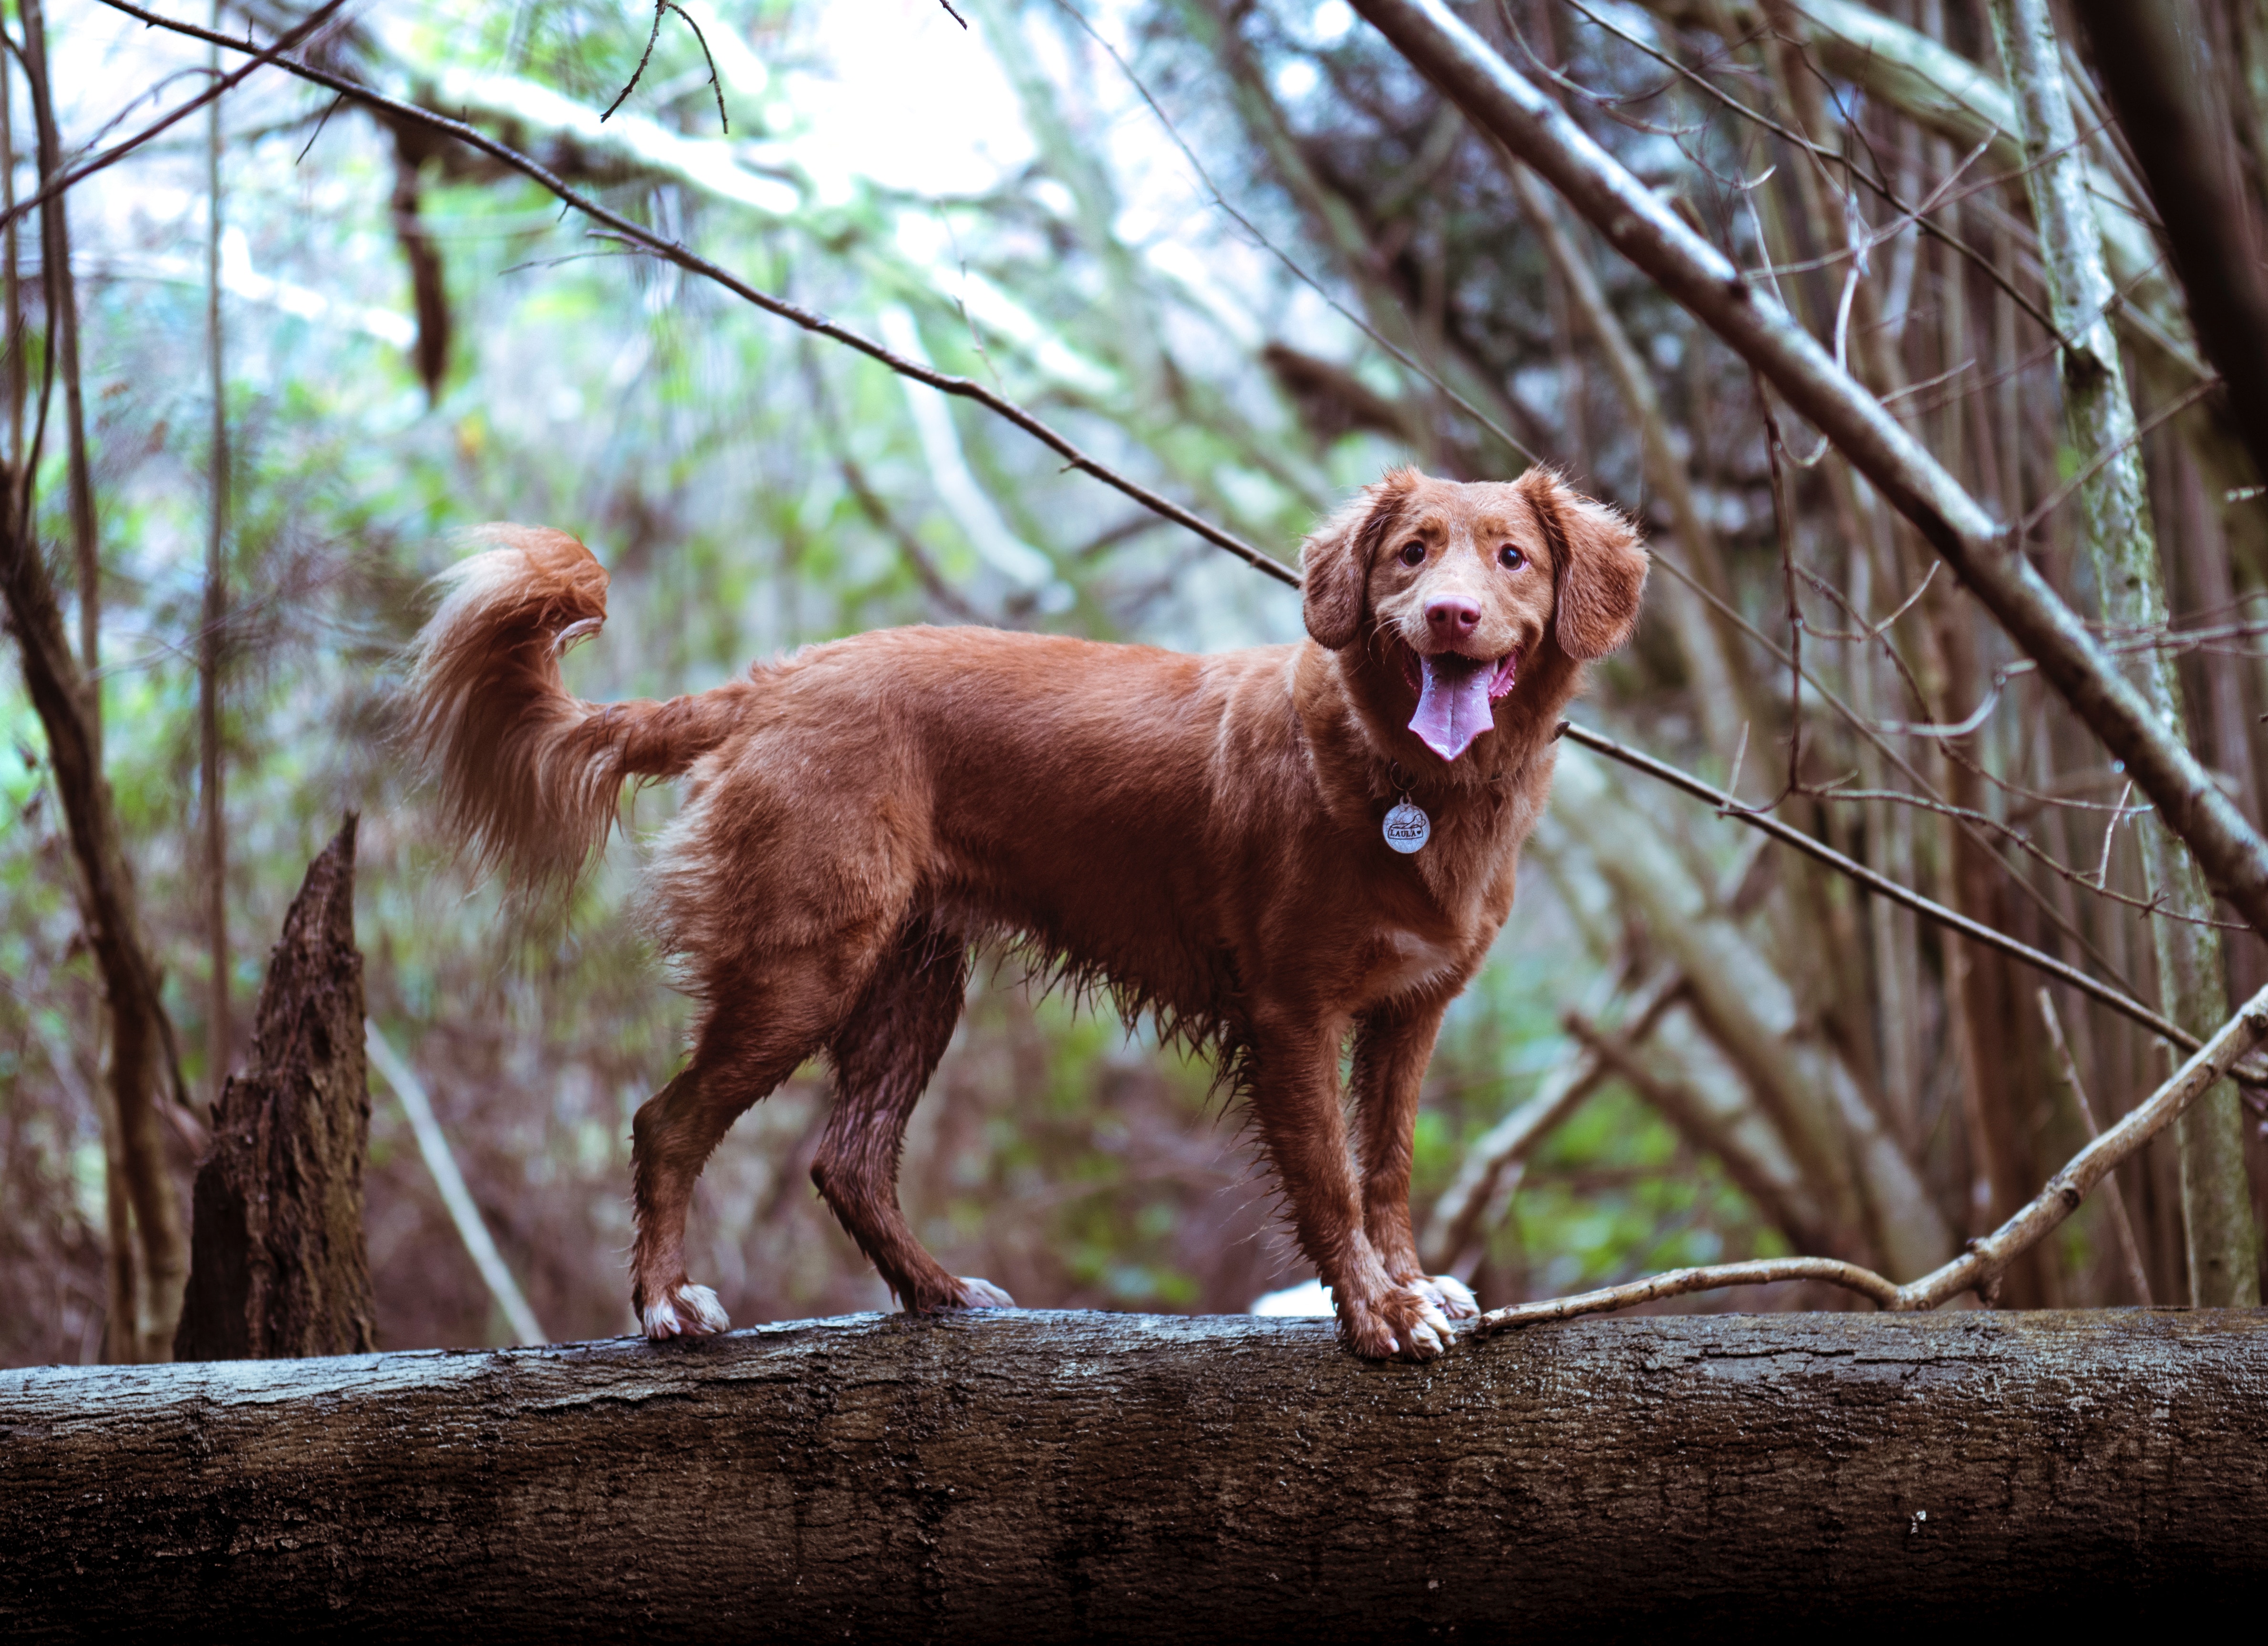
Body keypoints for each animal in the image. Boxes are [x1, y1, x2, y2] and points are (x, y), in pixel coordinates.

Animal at [408, 467, 1642, 1369]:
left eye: (1512, 557)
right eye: (1410, 553)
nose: (1450, 615)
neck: (1407, 779)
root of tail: (772, 681)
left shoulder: (1408, 1014)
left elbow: (1386, 1167)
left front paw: (1408, 1282)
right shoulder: (1293, 1012)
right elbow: (1331, 1179)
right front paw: (1376, 1314)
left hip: (913, 981)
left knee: (847, 1159)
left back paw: (938, 1292)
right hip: (805, 963)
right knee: (667, 1123)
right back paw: (667, 1305)